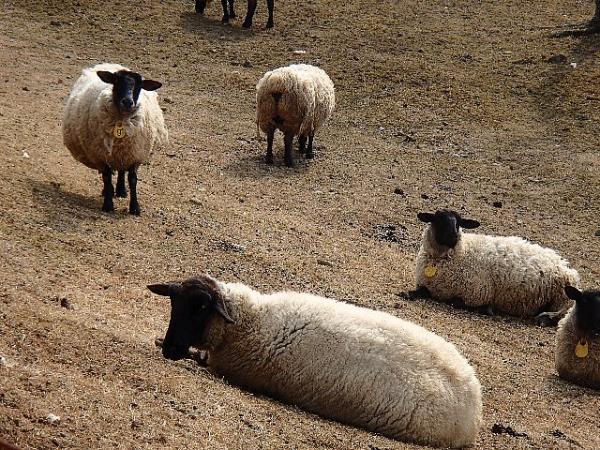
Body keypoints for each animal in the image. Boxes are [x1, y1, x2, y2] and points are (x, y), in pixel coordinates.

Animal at [62, 62, 169, 215]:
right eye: (116, 82)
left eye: (139, 85)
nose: (128, 102)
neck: (121, 124)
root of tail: (110, 64)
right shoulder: (100, 155)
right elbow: (106, 177)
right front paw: (108, 204)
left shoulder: (134, 155)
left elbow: (133, 179)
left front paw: (135, 207)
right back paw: (109, 191)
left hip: (123, 153)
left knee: (121, 170)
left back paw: (121, 190)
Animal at [412, 209, 580, 322]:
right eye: (438, 219)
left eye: (459, 222)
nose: (453, 236)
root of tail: (566, 267)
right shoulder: (426, 285)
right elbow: (420, 291)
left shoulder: (476, 293)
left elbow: (456, 302)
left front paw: (486, 309)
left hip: (563, 295)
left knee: (563, 311)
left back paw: (545, 318)